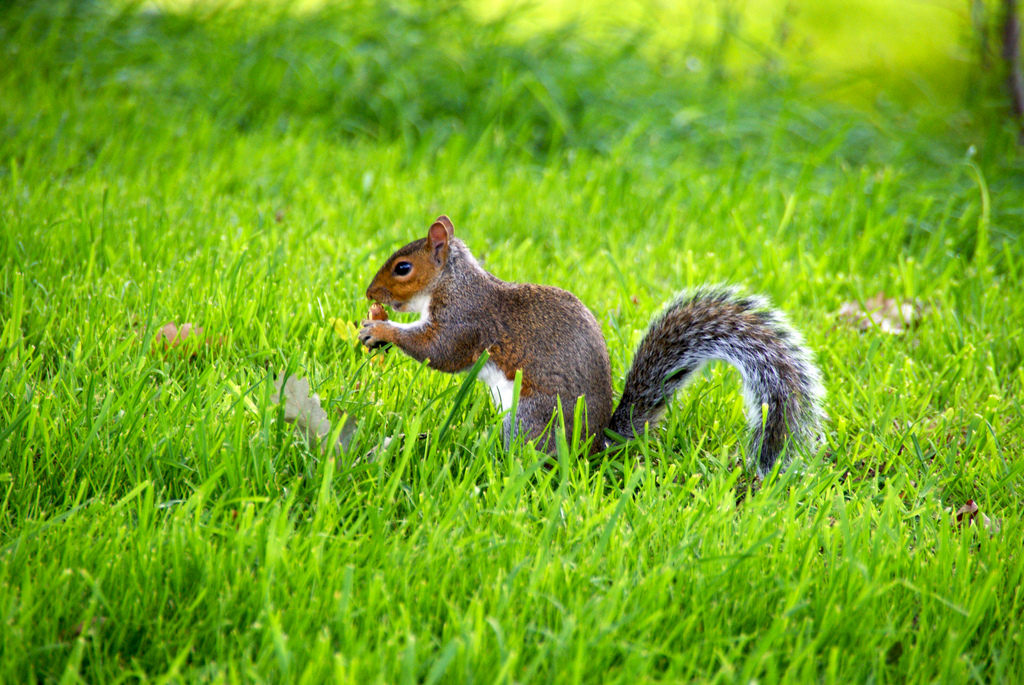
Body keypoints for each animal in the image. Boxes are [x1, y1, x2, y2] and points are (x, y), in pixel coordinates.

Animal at [360, 213, 823, 475]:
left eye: (403, 268)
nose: (369, 293)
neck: (453, 282)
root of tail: (595, 444)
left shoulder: (466, 321)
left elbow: (441, 353)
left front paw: (382, 330)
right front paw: (376, 322)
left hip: (533, 416)